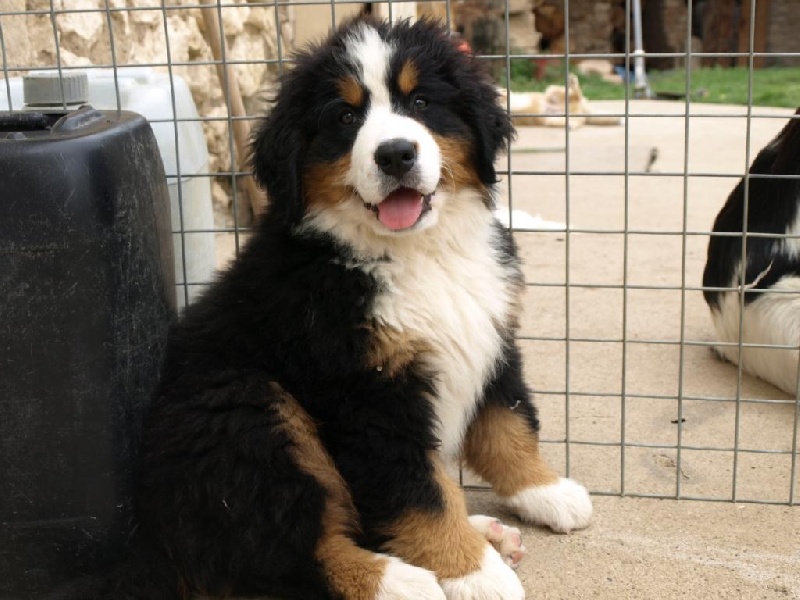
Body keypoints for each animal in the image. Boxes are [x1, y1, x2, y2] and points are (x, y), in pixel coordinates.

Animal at [54, 17, 592, 600]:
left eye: (422, 102)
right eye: (345, 117)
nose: (395, 154)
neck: (417, 252)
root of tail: (153, 546)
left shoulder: (490, 337)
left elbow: (508, 424)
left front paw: (545, 490)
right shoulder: (368, 394)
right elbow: (419, 492)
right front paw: (471, 572)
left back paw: (484, 532)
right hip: (247, 410)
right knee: (281, 551)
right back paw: (399, 579)